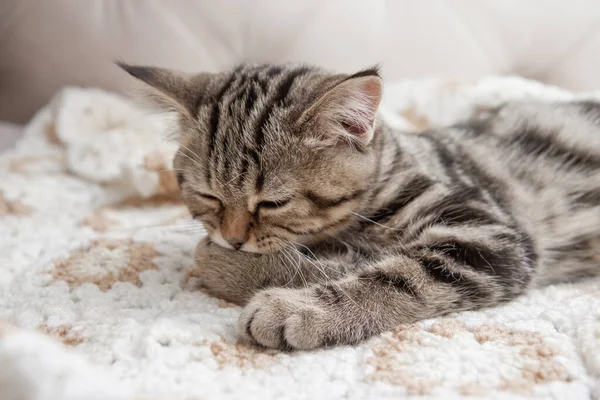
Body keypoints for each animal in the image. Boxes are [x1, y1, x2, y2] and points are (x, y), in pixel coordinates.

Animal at [119, 62, 600, 350]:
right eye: (209, 196)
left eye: (274, 202)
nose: (233, 239)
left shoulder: (488, 235)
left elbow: (397, 276)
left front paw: (287, 304)